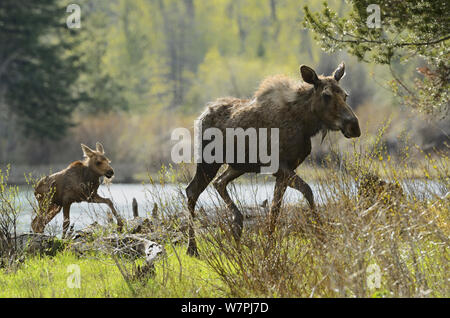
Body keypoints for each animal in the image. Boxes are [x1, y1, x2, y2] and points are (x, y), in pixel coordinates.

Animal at [185, 63, 360, 258]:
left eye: (345, 95)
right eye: (326, 95)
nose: (354, 126)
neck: (306, 124)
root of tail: (200, 117)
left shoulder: (285, 170)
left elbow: (275, 209)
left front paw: (270, 246)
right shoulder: (279, 167)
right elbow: (307, 191)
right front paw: (321, 235)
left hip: (238, 166)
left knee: (219, 182)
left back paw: (237, 226)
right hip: (208, 162)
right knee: (192, 191)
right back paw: (192, 248)